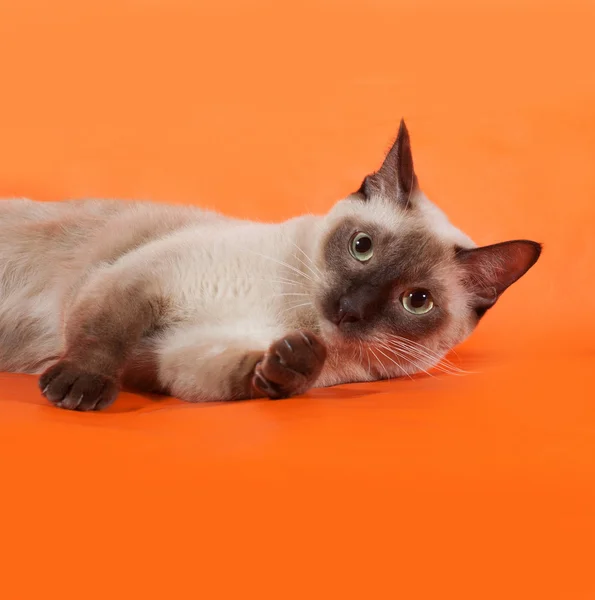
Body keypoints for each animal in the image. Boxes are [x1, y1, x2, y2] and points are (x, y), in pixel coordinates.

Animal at [0, 120, 540, 412]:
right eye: (362, 247)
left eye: (417, 301)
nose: (348, 308)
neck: (287, 313)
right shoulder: (142, 280)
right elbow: (103, 334)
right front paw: (79, 387)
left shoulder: (179, 354)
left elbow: (239, 374)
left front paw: (290, 364)